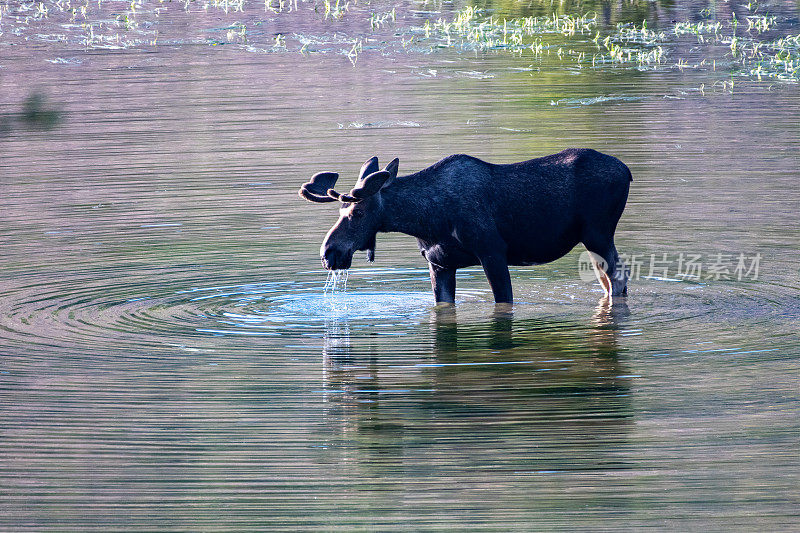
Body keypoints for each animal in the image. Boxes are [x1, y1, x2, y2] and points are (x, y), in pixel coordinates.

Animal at [300, 148, 632, 304]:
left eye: (357, 212)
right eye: (340, 209)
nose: (328, 253)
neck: (427, 219)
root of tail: (627, 172)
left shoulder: (492, 251)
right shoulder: (439, 264)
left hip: (598, 233)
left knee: (618, 281)